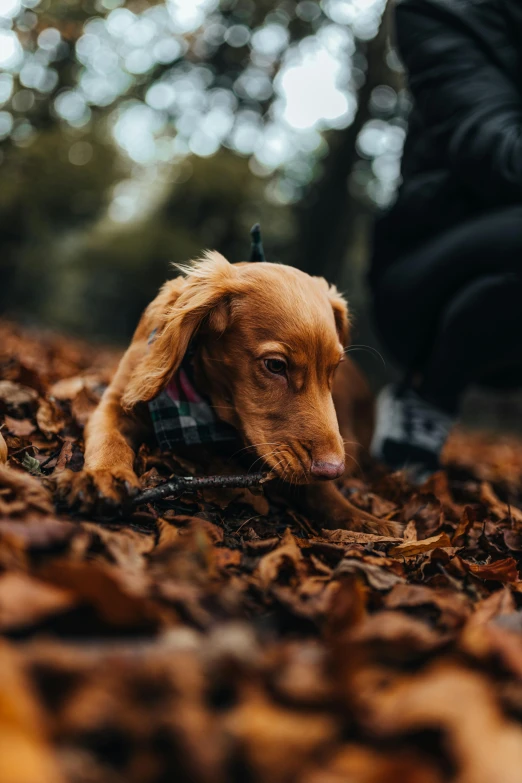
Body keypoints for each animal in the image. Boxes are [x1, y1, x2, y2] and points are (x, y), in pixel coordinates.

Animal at [59, 254, 396, 536]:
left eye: (334, 368)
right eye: (275, 365)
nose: (334, 469)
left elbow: (320, 491)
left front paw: (361, 518)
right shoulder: (116, 403)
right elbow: (109, 439)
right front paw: (103, 477)